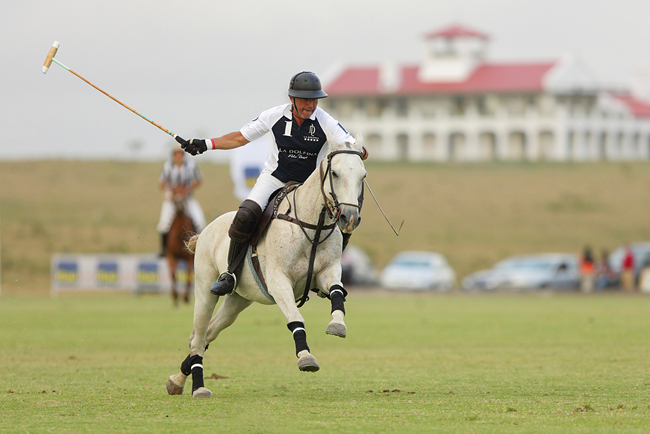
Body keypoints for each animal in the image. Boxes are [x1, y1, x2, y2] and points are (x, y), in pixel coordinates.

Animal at [166, 131, 364, 396]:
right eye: (335, 173)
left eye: (363, 175)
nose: (349, 219)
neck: (313, 223)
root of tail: (206, 230)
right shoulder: (278, 280)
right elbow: (295, 317)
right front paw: (305, 357)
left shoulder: (328, 271)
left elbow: (336, 293)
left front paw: (337, 325)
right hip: (204, 288)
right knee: (198, 336)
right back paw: (198, 388)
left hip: (239, 299)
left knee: (208, 332)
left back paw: (177, 380)